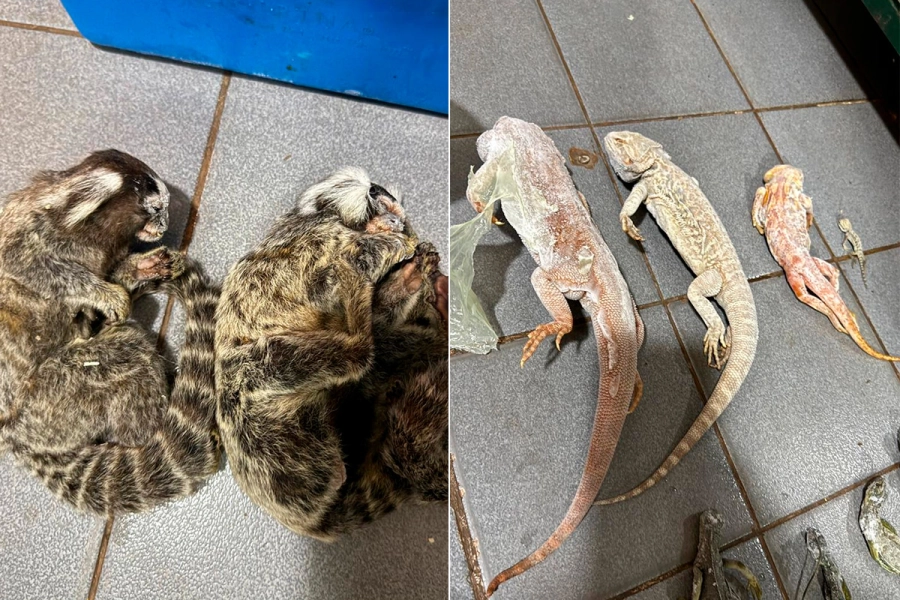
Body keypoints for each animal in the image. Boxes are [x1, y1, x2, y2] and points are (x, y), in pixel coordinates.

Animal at [0, 150, 220, 515]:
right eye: (157, 208)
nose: (164, 224)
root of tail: (19, 441)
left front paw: (141, 268)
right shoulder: (28, 230)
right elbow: (28, 264)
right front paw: (103, 292)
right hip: (50, 400)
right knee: (128, 356)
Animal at [215, 167, 448, 540]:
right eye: (376, 198)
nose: (385, 198)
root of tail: (311, 521)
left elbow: (381, 312)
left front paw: (411, 274)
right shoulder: (320, 243)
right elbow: (342, 269)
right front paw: (398, 250)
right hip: (254, 401)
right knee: (354, 353)